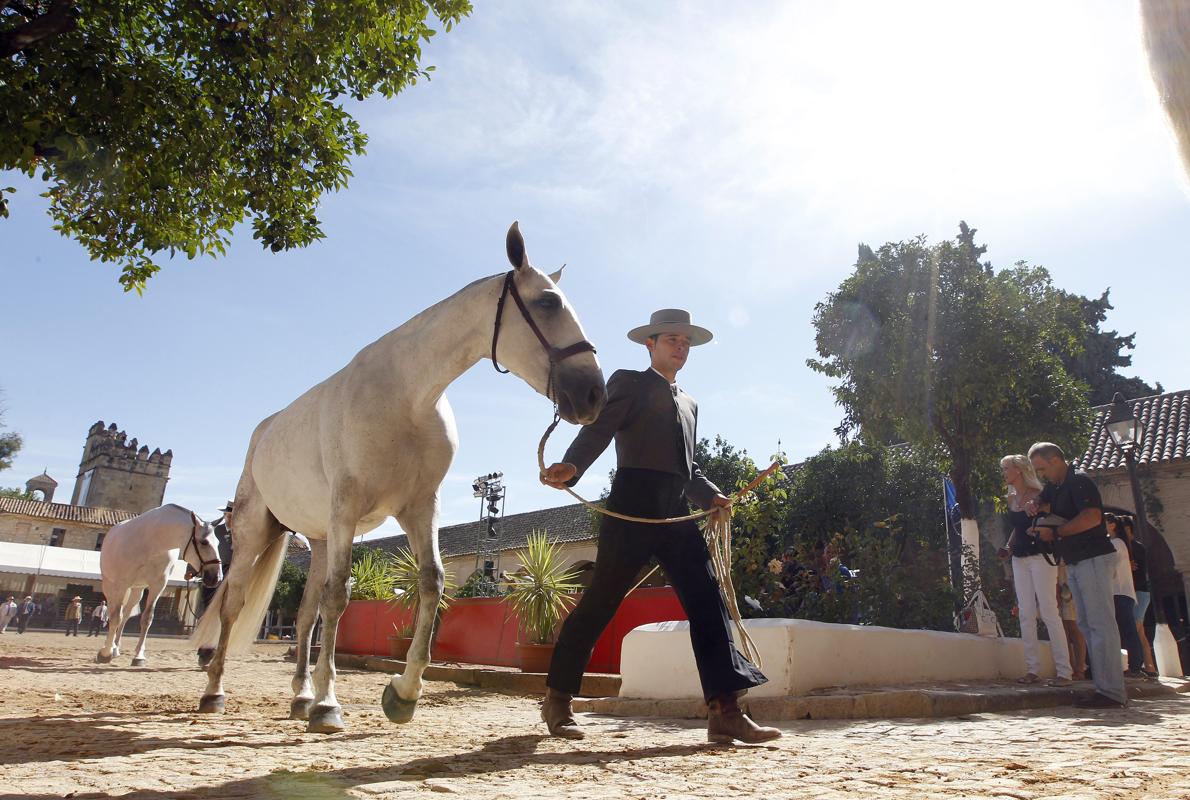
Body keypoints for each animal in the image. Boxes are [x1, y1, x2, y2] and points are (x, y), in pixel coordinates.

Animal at [97, 507, 223, 666]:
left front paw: (139, 656)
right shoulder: (121, 584)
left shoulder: (158, 585)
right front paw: (105, 653)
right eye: (204, 542)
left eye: (217, 543)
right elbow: (114, 617)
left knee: (125, 614)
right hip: (110, 586)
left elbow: (147, 619)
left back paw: (117, 647)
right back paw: (110, 647)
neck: (152, 542)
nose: (216, 578)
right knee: (114, 613)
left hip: (137, 589)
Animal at [195, 221, 609, 733]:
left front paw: (402, 695)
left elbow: (431, 584)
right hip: (257, 531)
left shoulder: (419, 507)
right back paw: (216, 692)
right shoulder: (348, 509)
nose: (593, 395)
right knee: (234, 604)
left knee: (306, 613)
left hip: (321, 539)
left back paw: (300, 696)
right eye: (548, 303)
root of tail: (262, 434)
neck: (404, 397)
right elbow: (341, 597)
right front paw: (330, 705)